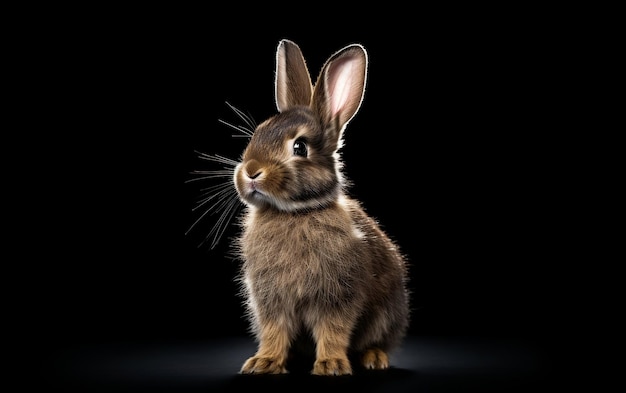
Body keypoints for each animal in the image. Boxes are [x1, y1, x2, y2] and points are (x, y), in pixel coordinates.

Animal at [232, 39, 412, 374]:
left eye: (299, 147)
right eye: (258, 133)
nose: (250, 171)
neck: (294, 212)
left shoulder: (338, 294)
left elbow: (333, 329)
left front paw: (331, 365)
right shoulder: (270, 300)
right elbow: (274, 330)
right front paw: (264, 362)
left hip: (387, 315)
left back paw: (374, 358)